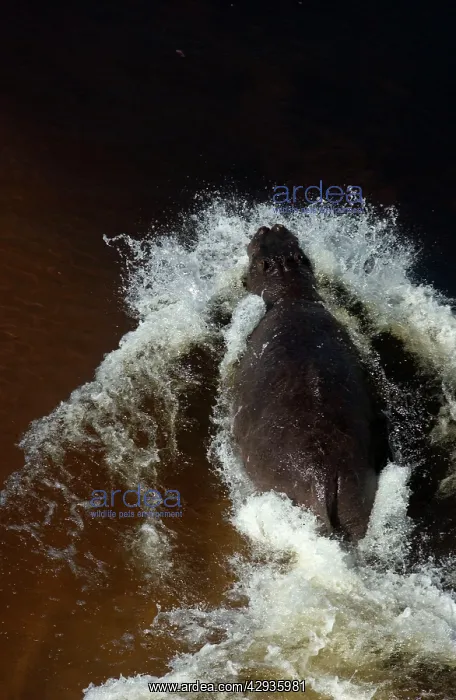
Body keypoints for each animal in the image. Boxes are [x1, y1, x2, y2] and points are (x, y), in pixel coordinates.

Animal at [232, 224, 389, 541]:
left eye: (259, 256)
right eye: (296, 250)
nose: (270, 226)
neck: (290, 291)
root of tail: (324, 478)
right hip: (356, 500)